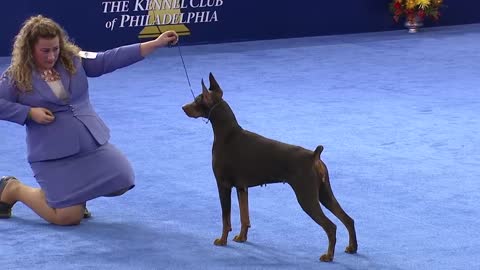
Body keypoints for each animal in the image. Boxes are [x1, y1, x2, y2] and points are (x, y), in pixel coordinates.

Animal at [182, 73, 358, 260]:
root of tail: (314, 156)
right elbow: (244, 217)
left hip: (306, 197)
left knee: (331, 226)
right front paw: (242, 238)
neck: (227, 134)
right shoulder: (242, 188)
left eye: (197, 100)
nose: (183, 107)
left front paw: (222, 240)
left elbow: (226, 218)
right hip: (324, 193)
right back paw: (352, 247)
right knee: (347, 219)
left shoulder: (223, 185)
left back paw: (328, 256)